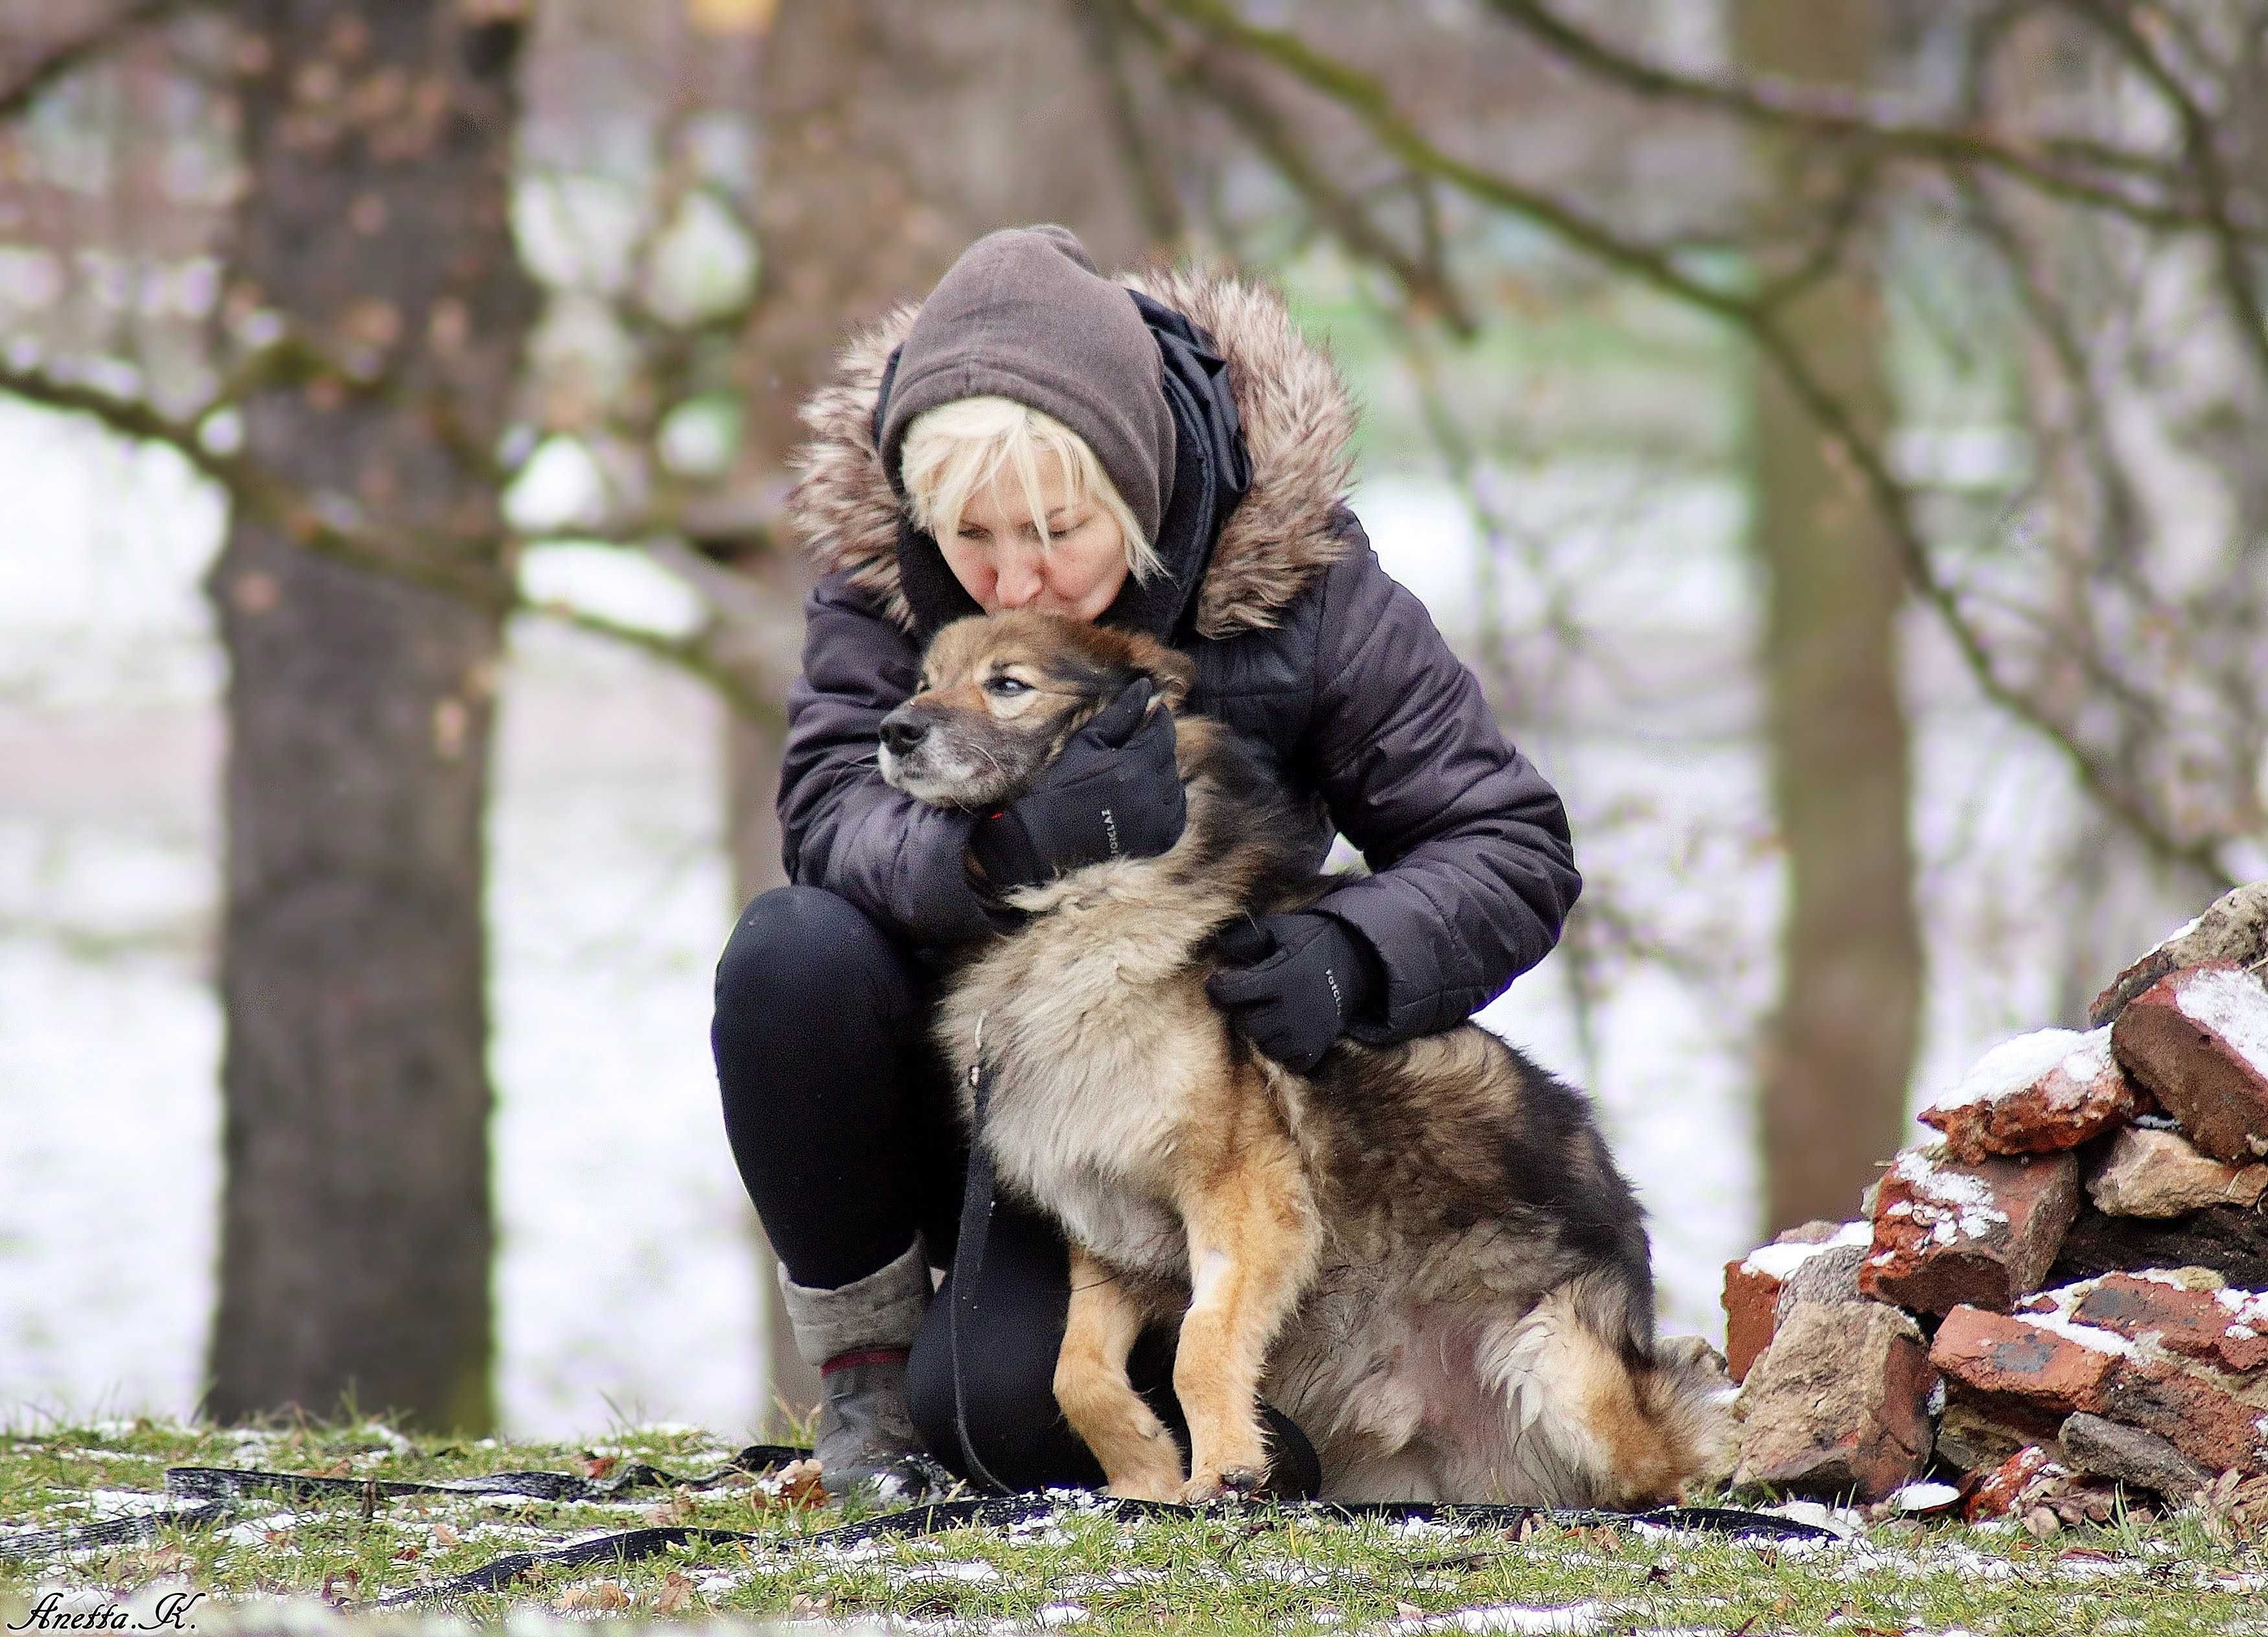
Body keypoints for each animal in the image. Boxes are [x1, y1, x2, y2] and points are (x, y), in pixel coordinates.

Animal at [875, 608, 1724, 1496]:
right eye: (924, 681)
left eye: (1008, 684)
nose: (894, 730)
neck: (1075, 909)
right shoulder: (1108, 1225)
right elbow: (1074, 1374)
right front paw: (1145, 1474)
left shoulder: (1246, 1196)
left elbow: (1200, 1346)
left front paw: (1222, 1473)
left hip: (1563, 1360)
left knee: (1672, 1461)